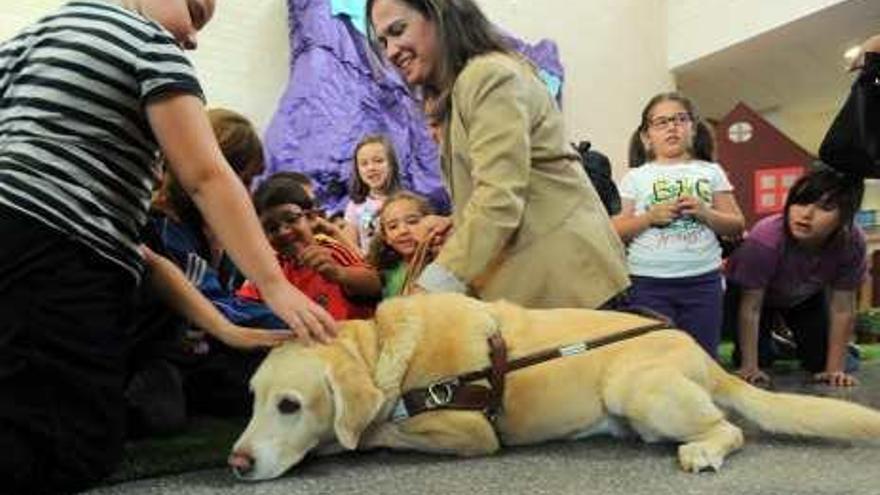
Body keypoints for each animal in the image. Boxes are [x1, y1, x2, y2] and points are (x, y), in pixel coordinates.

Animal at [230, 294, 880, 480]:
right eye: (252, 401)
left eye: (290, 405)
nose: (236, 463)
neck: (385, 347)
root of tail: (701, 351)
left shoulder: (466, 431)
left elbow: (379, 431)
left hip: (633, 389)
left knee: (729, 430)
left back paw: (702, 450)